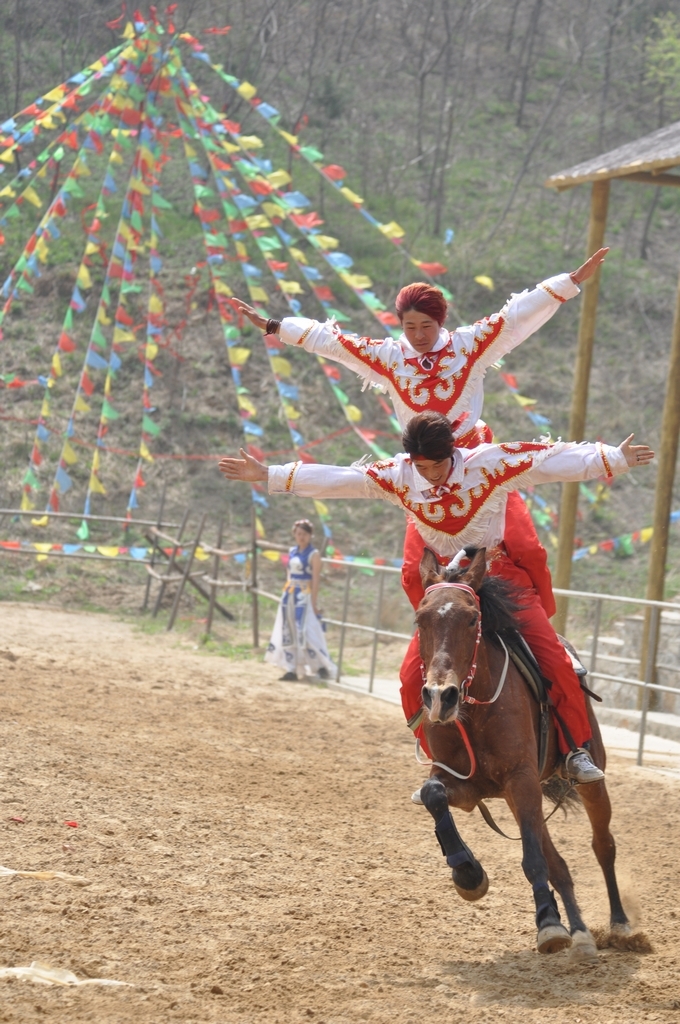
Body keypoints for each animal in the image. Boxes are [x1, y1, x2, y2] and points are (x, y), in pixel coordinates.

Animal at [413, 548, 630, 954]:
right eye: (421, 619)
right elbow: (433, 794)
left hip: (586, 781)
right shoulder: (465, 786)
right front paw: (468, 873)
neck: (475, 711)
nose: (440, 695)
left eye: (472, 618)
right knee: (559, 864)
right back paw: (580, 933)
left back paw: (621, 924)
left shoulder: (521, 779)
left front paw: (548, 923)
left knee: (603, 845)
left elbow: (532, 859)